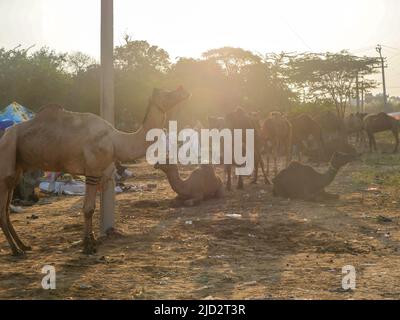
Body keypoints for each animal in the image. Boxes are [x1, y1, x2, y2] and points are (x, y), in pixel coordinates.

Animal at [0, 85, 191, 255]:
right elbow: (88, 208)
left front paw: (91, 240)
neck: (116, 140)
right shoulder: (92, 170)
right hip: (6, 158)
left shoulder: (99, 171)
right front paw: (88, 247)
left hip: (16, 170)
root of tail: (5, 134)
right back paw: (16, 250)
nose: (184, 90)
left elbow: (90, 207)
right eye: (167, 93)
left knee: (7, 207)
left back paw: (23, 245)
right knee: (3, 208)